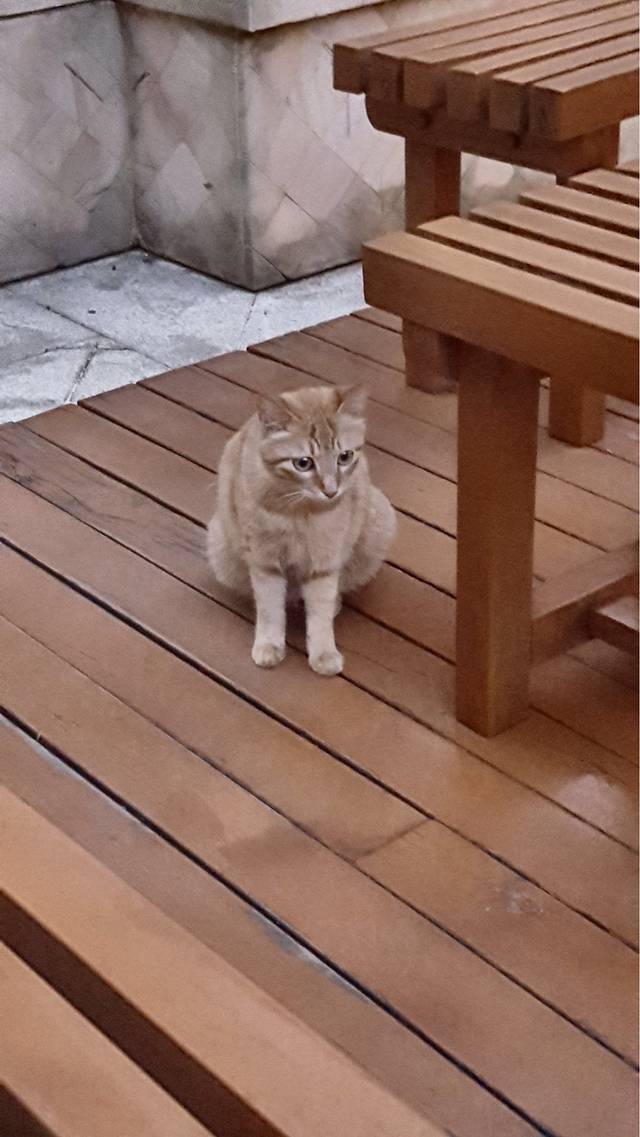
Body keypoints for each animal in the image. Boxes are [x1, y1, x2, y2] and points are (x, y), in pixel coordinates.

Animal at [207, 383, 395, 676]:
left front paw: (324, 652)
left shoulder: (324, 561)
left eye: (344, 457)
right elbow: (270, 608)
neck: (300, 512)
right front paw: (269, 644)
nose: (331, 490)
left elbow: (320, 610)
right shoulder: (265, 561)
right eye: (303, 463)